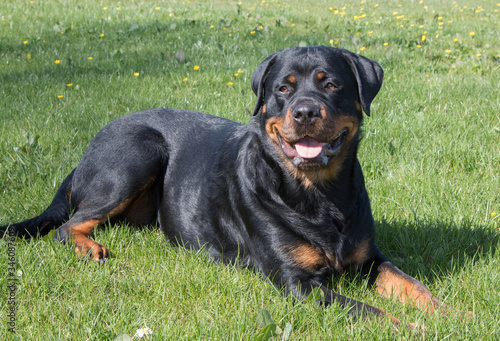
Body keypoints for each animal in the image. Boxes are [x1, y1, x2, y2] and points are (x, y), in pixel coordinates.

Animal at [0, 46, 454, 326]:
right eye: (283, 88)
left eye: (332, 84)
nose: (305, 112)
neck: (318, 194)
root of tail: (86, 152)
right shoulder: (297, 283)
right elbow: (369, 312)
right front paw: (414, 328)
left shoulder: (368, 260)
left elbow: (416, 287)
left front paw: (455, 316)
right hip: (135, 153)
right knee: (67, 225)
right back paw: (87, 247)